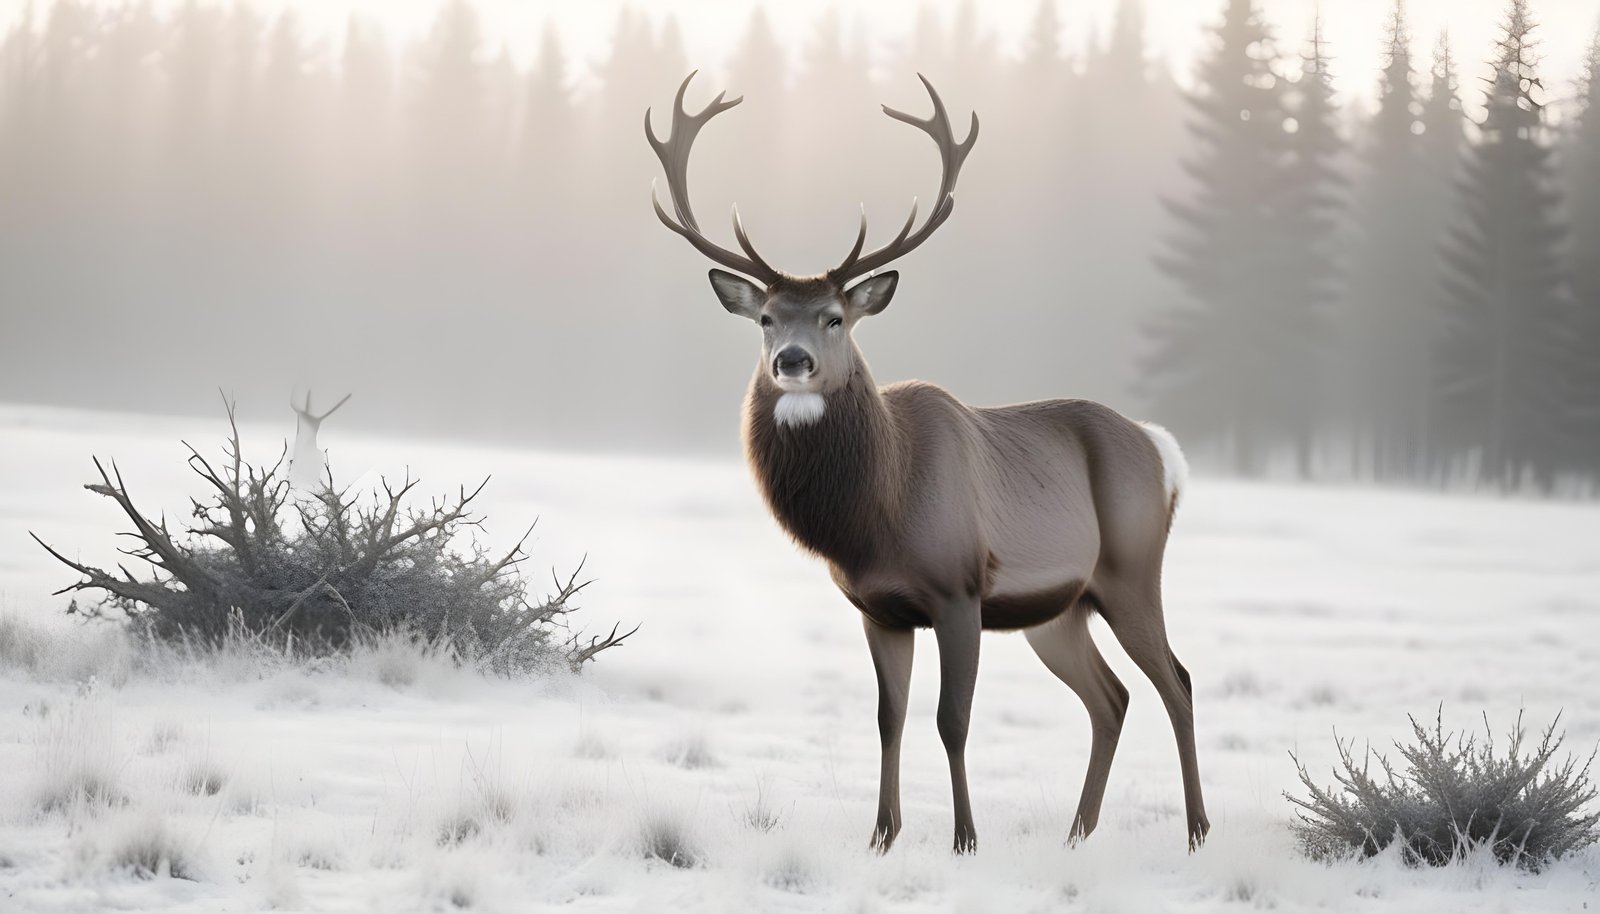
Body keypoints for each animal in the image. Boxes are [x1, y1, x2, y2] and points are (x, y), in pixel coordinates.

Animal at [646, 73, 1209, 854]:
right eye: (765, 318)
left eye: (835, 318)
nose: (792, 361)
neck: (879, 514)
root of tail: (1165, 453)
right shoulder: (878, 608)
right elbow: (889, 717)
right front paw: (882, 834)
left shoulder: (958, 588)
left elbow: (953, 720)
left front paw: (965, 838)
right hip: (1061, 609)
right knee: (1112, 697)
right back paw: (1078, 833)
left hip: (1131, 571)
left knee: (1177, 682)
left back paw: (1196, 831)